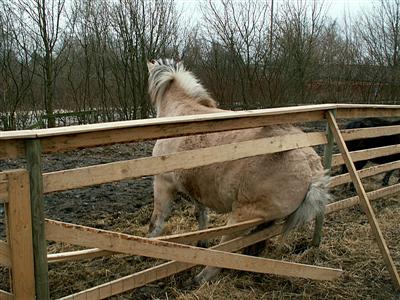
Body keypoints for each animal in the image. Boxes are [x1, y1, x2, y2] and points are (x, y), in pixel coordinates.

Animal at [145, 59, 330, 284]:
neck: (181, 112)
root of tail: (311, 172)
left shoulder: (163, 184)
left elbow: (157, 221)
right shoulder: (196, 188)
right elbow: (201, 215)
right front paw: (201, 243)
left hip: (240, 217)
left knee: (225, 250)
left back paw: (200, 278)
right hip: (265, 221)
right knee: (255, 246)